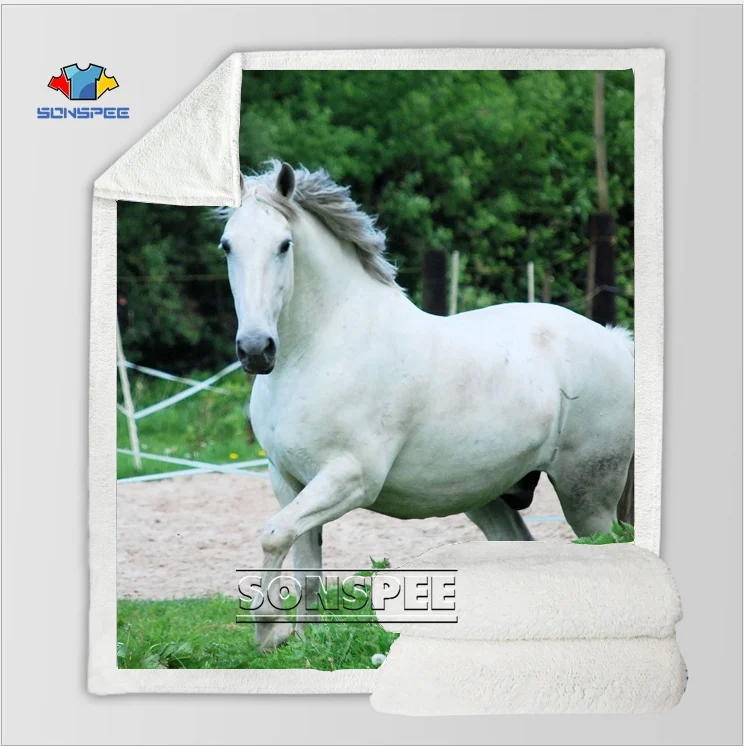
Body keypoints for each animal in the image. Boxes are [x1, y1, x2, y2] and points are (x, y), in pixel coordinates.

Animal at [217, 161, 635, 650]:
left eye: (284, 244)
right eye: (227, 245)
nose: (255, 350)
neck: (321, 347)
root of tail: (614, 340)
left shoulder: (351, 478)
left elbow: (274, 534)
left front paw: (266, 629)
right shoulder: (288, 480)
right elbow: (305, 567)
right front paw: (302, 643)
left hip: (588, 496)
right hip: (487, 497)